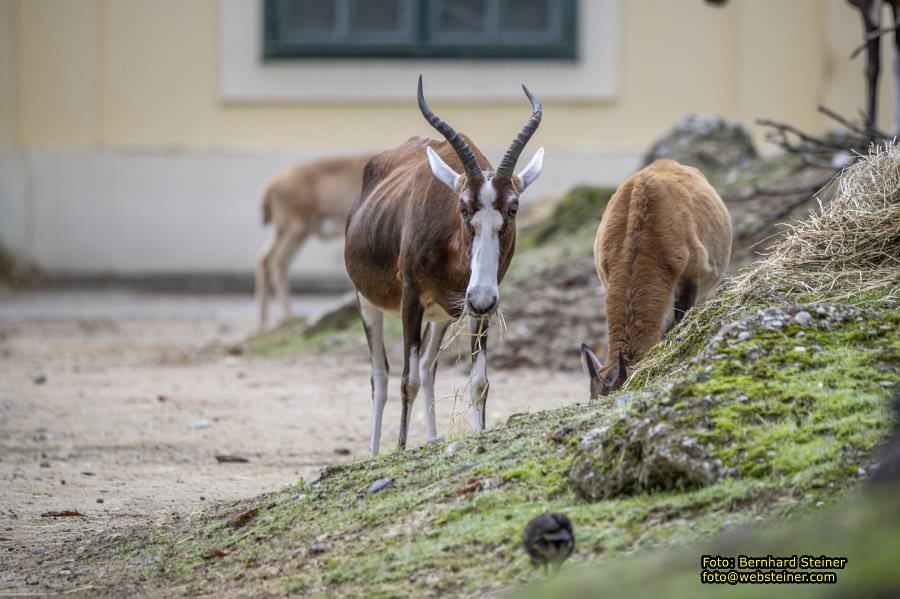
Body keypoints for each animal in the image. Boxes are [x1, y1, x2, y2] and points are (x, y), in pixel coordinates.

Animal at [253, 155, 370, 332]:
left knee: (264, 259)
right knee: (279, 261)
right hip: (298, 228)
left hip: (281, 230)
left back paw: (263, 322)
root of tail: (270, 186)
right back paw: (288, 316)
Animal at [342, 77, 540, 458]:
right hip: (368, 303)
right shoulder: (411, 299)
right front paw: (400, 450)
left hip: (443, 315)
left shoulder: (479, 308)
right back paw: (374, 454)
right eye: (463, 207)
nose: (480, 296)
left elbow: (478, 382)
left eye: (512, 208)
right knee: (381, 376)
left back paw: (432, 440)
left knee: (427, 365)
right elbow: (406, 381)